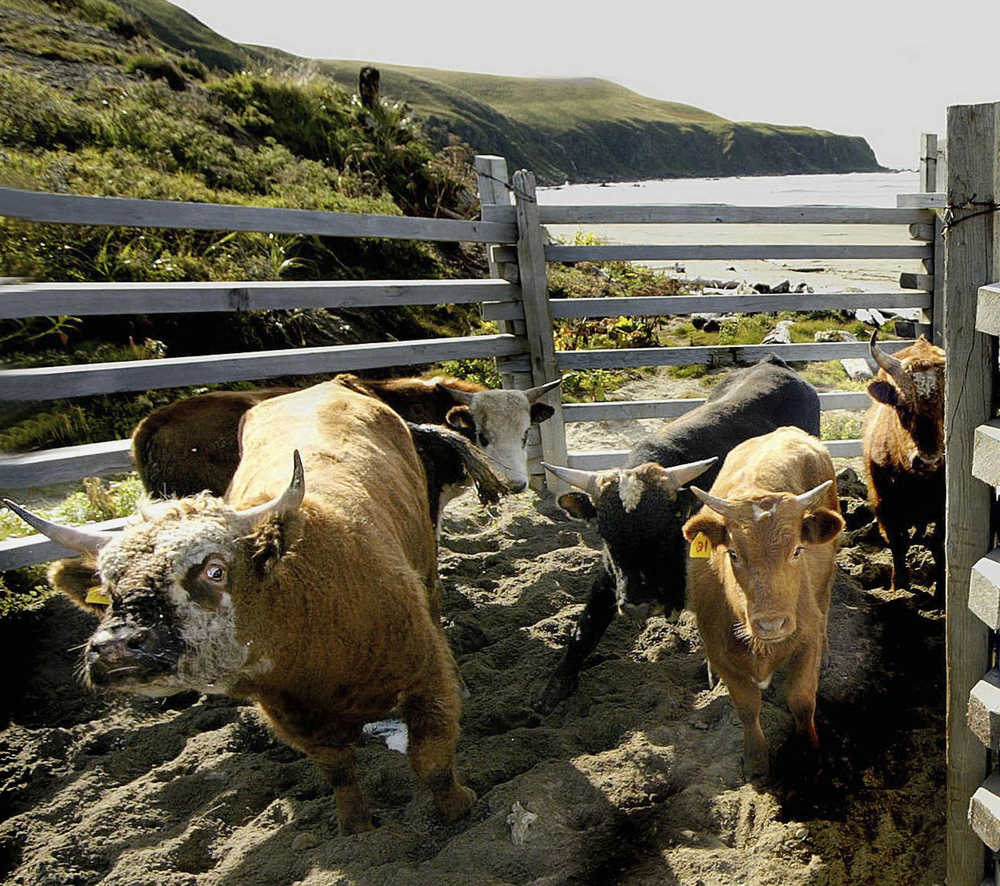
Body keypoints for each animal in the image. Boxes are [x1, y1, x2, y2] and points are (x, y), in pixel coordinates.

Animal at [4, 381, 476, 834]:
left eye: (215, 570)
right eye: (109, 583)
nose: (115, 648)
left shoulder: (425, 679)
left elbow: (430, 759)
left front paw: (459, 807)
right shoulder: (295, 717)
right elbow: (340, 773)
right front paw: (356, 828)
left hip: (426, 568)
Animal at [536, 356, 821, 711]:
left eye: (664, 529)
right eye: (603, 532)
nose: (638, 605)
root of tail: (775, 363)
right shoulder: (611, 576)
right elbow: (585, 626)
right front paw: (556, 685)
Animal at [682, 426, 844, 779]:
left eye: (797, 550)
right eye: (733, 554)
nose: (772, 624)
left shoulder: (805, 638)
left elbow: (801, 700)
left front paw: (809, 754)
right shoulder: (721, 651)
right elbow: (746, 707)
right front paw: (755, 760)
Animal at [862, 330, 946, 601]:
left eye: (946, 407)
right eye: (902, 406)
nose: (929, 460)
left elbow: (939, 544)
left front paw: (940, 590)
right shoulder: (884, 504)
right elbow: (897, 541)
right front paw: (898, 585)